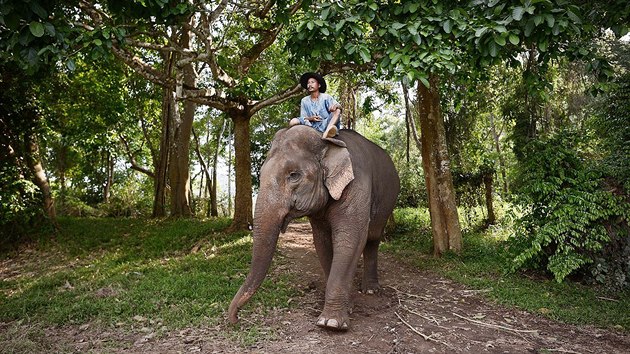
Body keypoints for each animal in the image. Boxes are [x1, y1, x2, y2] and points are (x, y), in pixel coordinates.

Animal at [230, 124, 402, 330]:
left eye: (294, 175)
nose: (235, 318)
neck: (327, 143)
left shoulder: (357, 185)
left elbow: (350, 239)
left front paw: (331, 323)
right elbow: (322, 242)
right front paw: (348, 307)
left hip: (388, 201)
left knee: (373, 238)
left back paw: (370, 290)